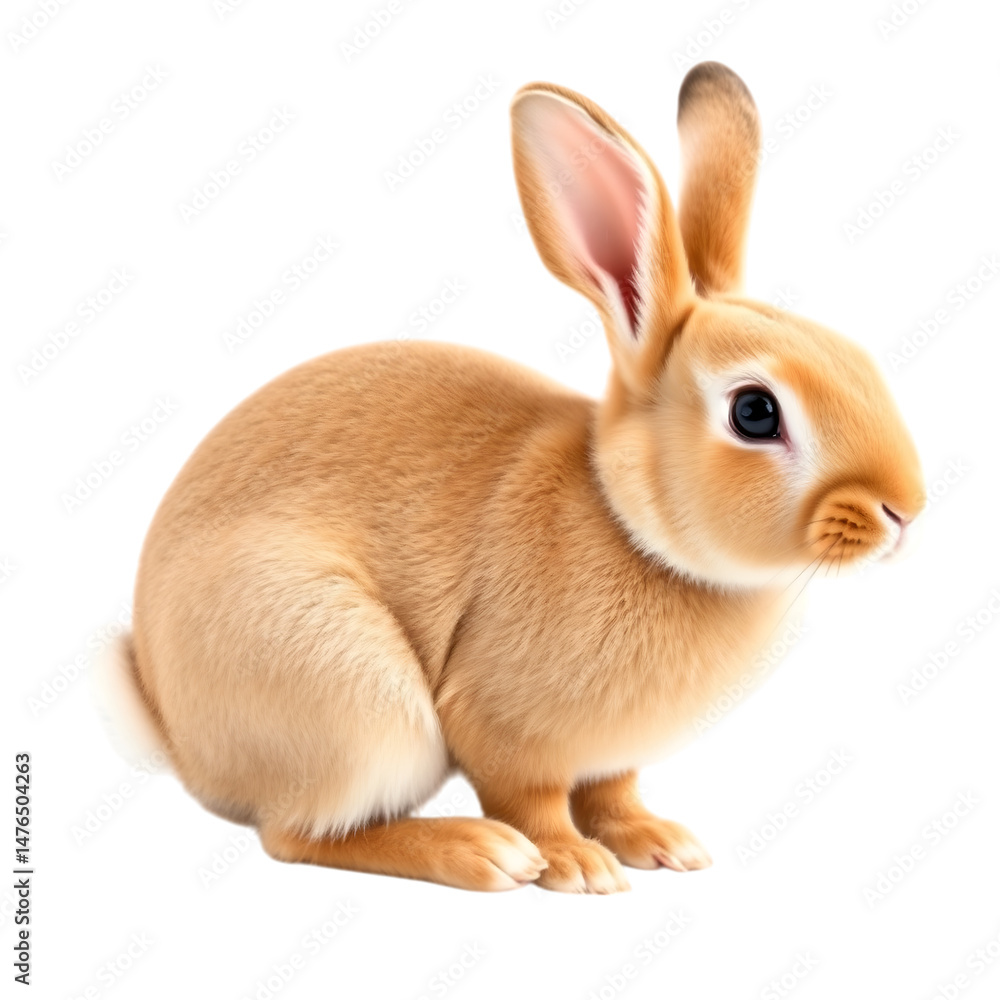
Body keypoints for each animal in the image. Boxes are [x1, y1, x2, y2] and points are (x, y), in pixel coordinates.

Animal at [110, 61, 924, 894]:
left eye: (854, 356)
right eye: (755, 412)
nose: (905, 509)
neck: (629, 524)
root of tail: (179, 736)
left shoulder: (611, 757)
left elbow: (614, 791)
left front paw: (659, 842)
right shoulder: (500, 725)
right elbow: (531, 798)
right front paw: (575, 866)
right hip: (352, 694)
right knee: (298, 834)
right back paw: (479, 852)